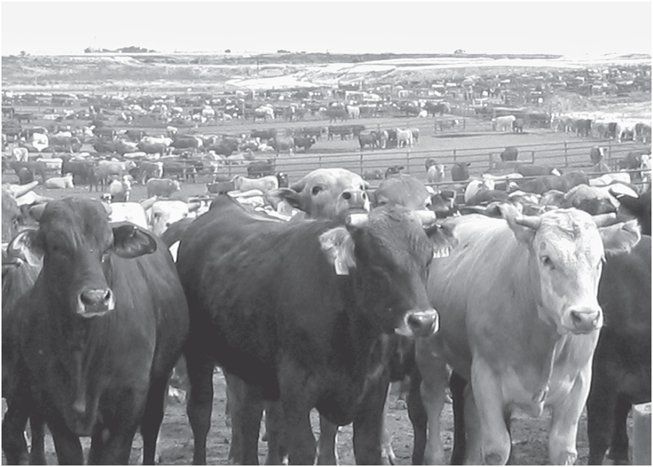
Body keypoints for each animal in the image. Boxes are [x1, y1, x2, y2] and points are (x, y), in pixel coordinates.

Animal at [2, 197, 190, 464]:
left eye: (107, 246)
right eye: (57, 246)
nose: (95, 299)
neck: (82, 347)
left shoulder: (126, 412)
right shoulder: (54, 412)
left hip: (159, 381)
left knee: (151, 428)